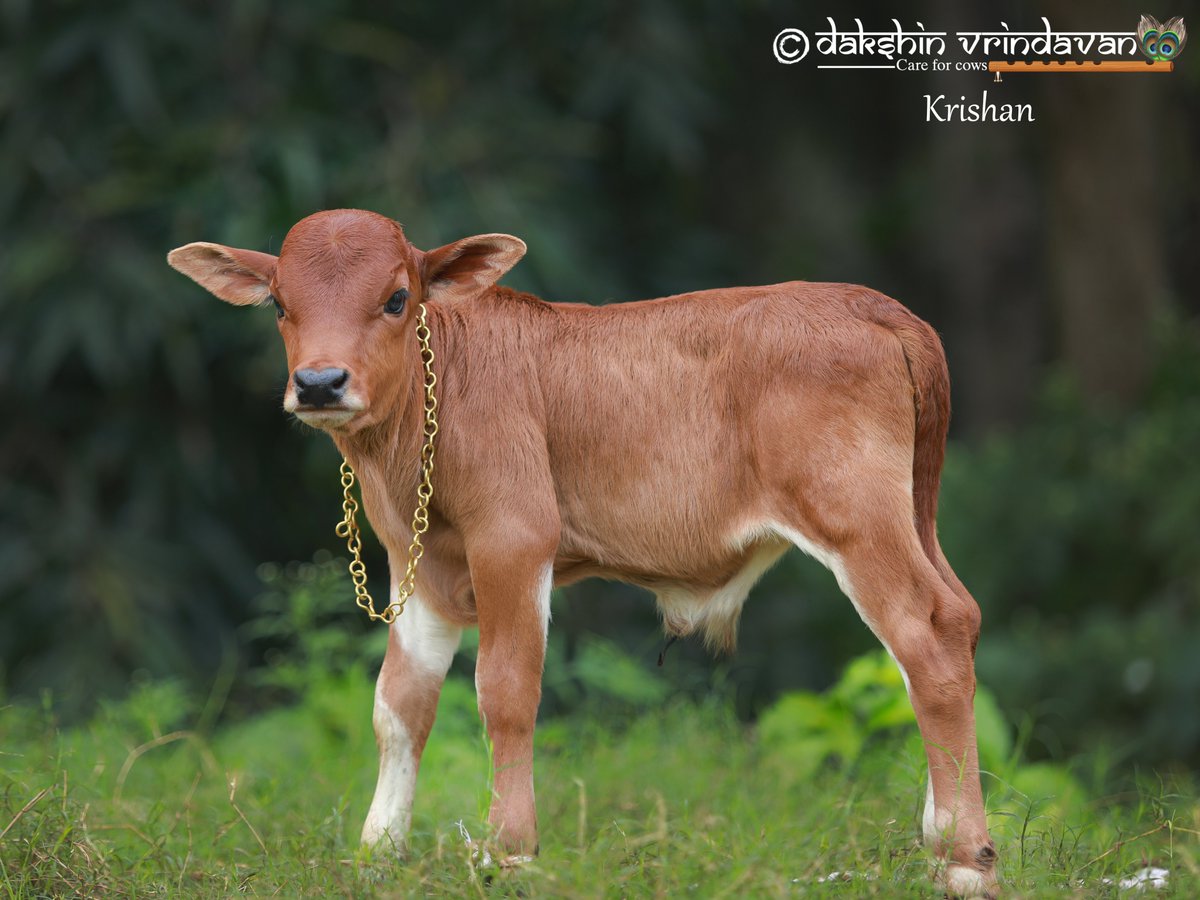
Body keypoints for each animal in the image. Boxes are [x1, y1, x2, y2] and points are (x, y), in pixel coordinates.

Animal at [168, 208, 998, 898]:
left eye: (398, 298)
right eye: (279, 304)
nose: (319, 383)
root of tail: (874, 304)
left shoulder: (514, 535)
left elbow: (505, 691)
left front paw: (508, 851)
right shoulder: (417, 563)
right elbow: (399, 704)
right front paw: (379, 852)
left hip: (854, 514)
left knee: (928, 638)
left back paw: (965, 859)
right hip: (906, 515)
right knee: (949, 626)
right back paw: (936, 842)